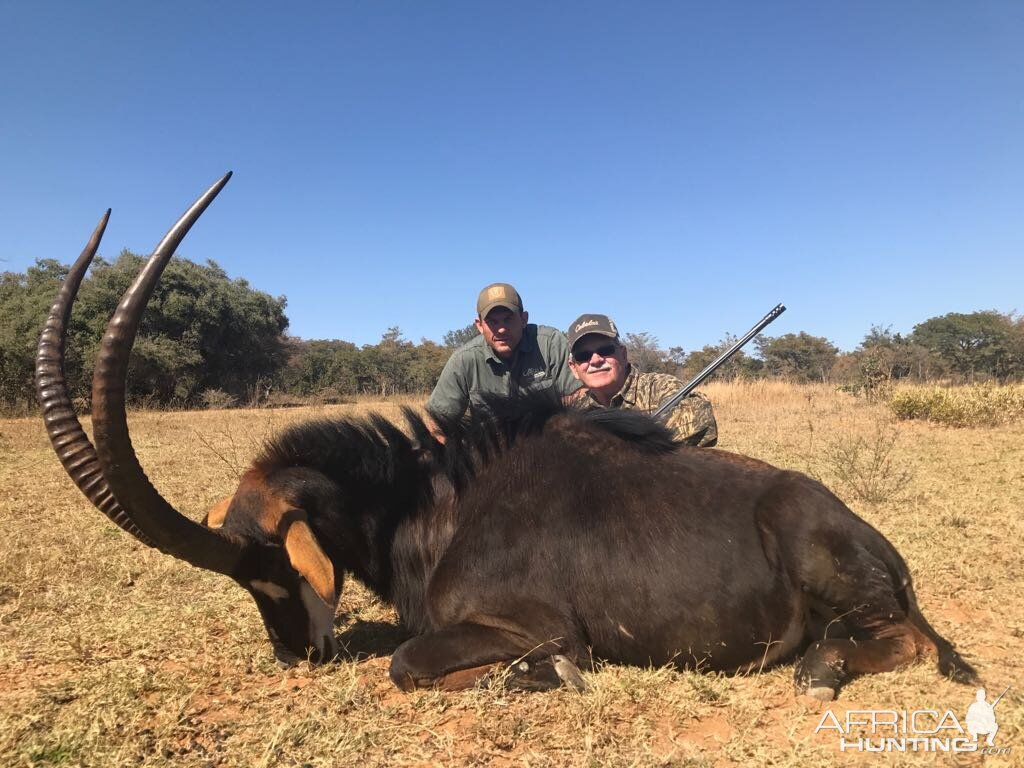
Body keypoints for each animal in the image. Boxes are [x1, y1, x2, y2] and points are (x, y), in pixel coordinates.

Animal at [34, 174, 974, 704]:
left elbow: (409, 663)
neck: (437, 500)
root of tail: (879, 545)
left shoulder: (533, 624)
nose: (297, 657)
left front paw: (538, 677)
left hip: (833, 570)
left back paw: (819, 672)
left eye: (268, 572)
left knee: (906, 639)